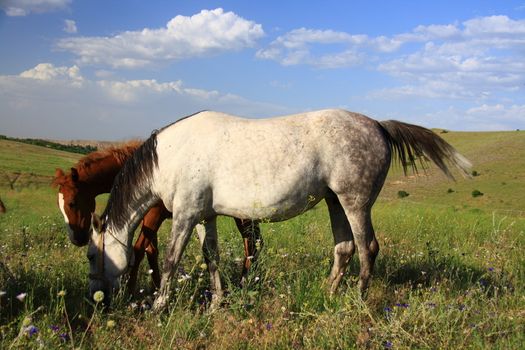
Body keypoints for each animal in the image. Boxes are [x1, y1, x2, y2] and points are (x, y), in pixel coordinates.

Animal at [52, 142, 260, 292]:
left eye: (72, 203)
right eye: (60, 205)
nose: (77, 239)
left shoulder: (154, 215)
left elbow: (138, 250)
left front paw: (131, 291)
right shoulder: (148, 219)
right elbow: (151, 251)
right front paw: (154, 287)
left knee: (251, 243)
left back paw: (245, 284)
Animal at [87, 108, 470, 308]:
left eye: (92, 255)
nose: (96, 300)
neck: (171, 154)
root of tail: (378, 125)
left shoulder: (184, 216)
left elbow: (170, 261)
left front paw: (158, 306)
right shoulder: (203, 216)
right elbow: (211, 257)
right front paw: (217, 302)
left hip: (355, 203)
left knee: (367, 248)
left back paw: (356, 301)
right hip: (335, 202)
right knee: (344, 249)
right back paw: (328, 294)